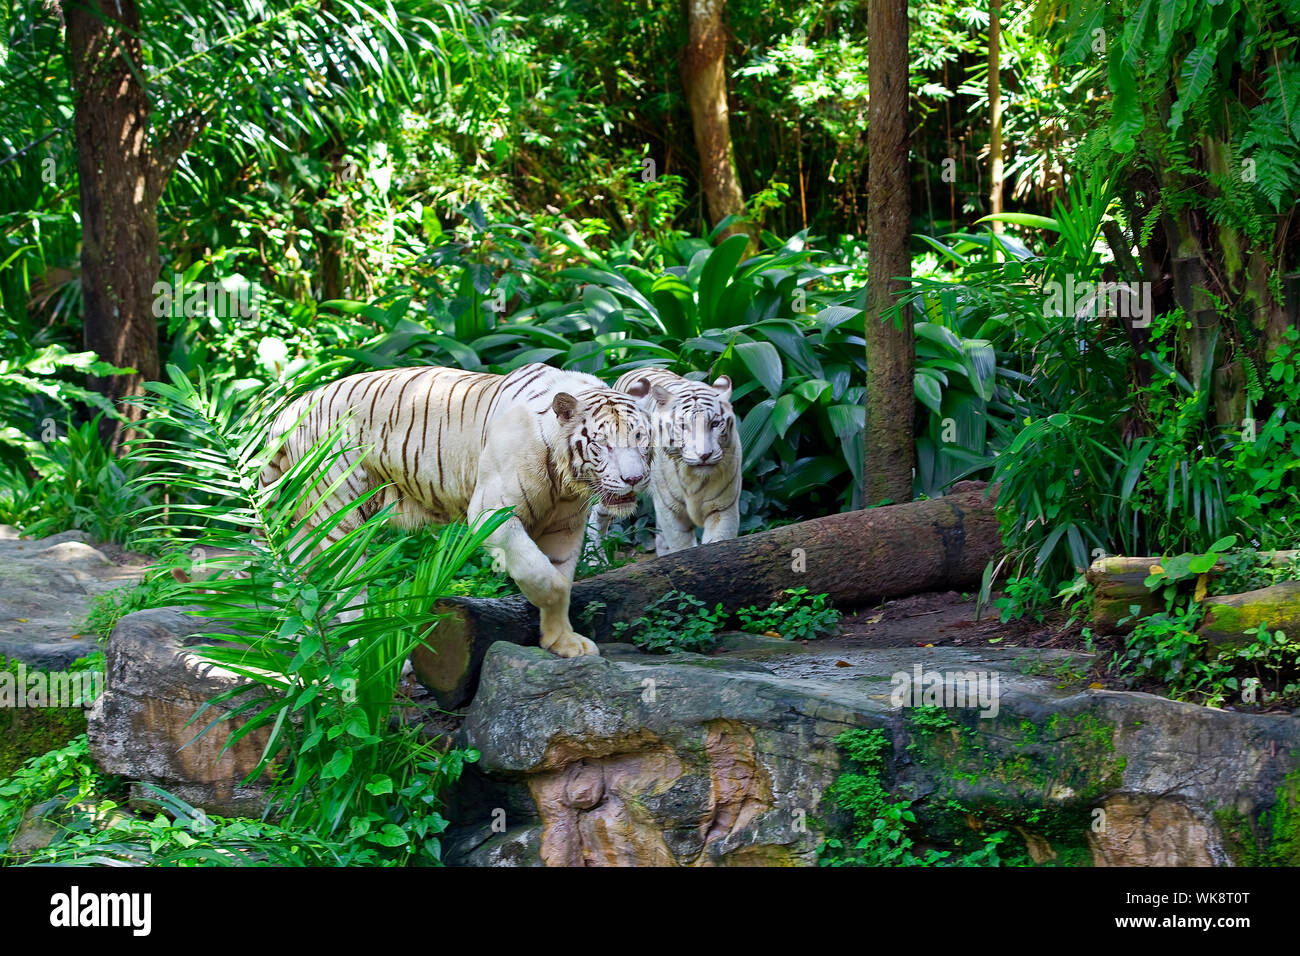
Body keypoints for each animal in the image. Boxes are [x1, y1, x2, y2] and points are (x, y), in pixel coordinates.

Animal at [263, 364, 655, 658]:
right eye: (602, 444)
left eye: (640, 438)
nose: (634, 478)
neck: (565, 480)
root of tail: (291, 408)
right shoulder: (491, 513)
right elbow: (548, 580)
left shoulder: (565, 526)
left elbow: (562, 580)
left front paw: (563, 642)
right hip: (340, 510)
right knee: (343, 580)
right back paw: (360, 644)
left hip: (308, 514)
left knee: (297, 566)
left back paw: (292, 633)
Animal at [590, 369, 743, 561]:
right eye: (684, 426)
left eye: (715, 424)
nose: (704, 455)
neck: (694, 478)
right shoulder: (672, 512)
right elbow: (681, 546)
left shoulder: (722, 508)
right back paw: (594, 559)